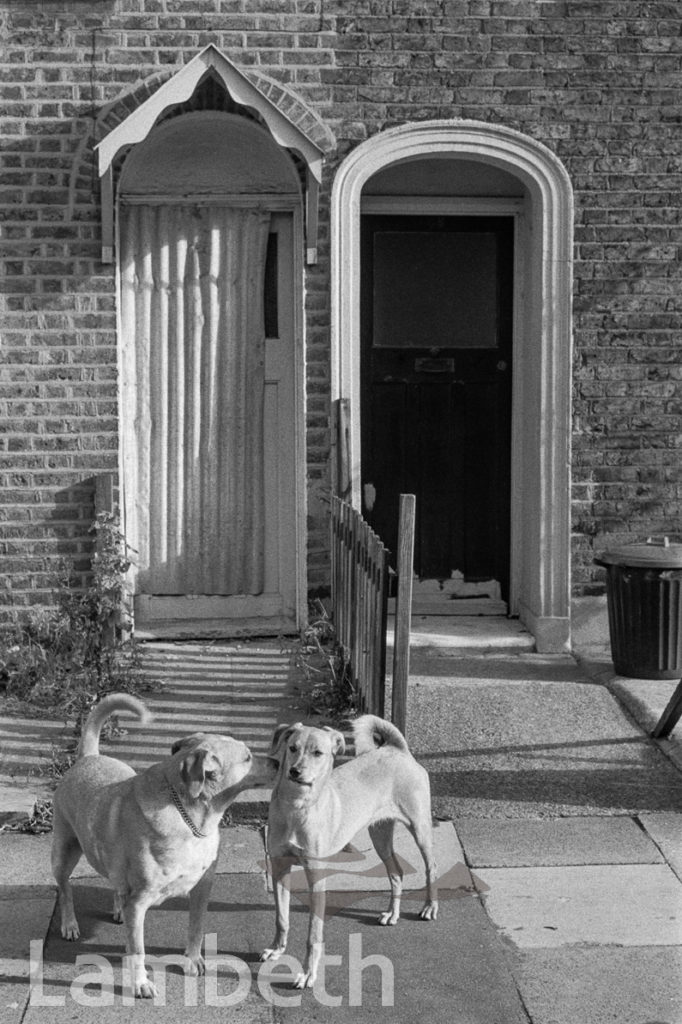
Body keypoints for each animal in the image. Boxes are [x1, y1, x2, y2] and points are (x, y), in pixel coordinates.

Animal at [51, 692, 274, 995]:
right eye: (248, 757)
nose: (278, 762)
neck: (191, 819)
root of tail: (89, 756)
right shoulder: (139, 902)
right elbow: (138, 950)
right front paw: (140, 983)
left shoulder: (203, 887)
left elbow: (196, 928)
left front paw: (193, 961)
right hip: (63, 853)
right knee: (65, 890)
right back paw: (70, 924)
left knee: (115, 884)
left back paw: (117, 909)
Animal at [260, 716, 436, 987]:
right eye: (292, 748)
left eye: (318, 753)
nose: (295, 771)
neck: (297, 807)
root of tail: (398, 750)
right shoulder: (280, 868)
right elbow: (281, 918)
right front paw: (277, 949)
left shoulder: (316, 879)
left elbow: (313, 934)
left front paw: (308, 973)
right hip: (380, 835)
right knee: (396, 872)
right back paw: (392, 913)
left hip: (420, 827)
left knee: (431, 866)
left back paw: (429, 906)